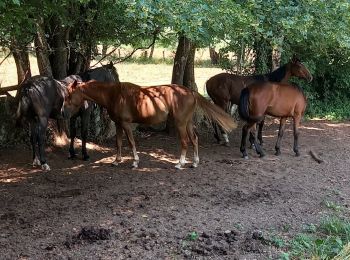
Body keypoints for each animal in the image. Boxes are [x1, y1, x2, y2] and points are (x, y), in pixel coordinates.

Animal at [63, 80, 238, 169]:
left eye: (70, 95)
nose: (63, 112)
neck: (114, 95)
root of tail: (190, 92)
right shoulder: (118, 124)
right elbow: (118, 143)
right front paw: (116, 160)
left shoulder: (126, 124)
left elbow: (131, 142)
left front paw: (135, 161)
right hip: (187, 123)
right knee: (194, 140)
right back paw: (194, 163)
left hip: (181, 123)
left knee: (185, 142)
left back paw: (180, 163)